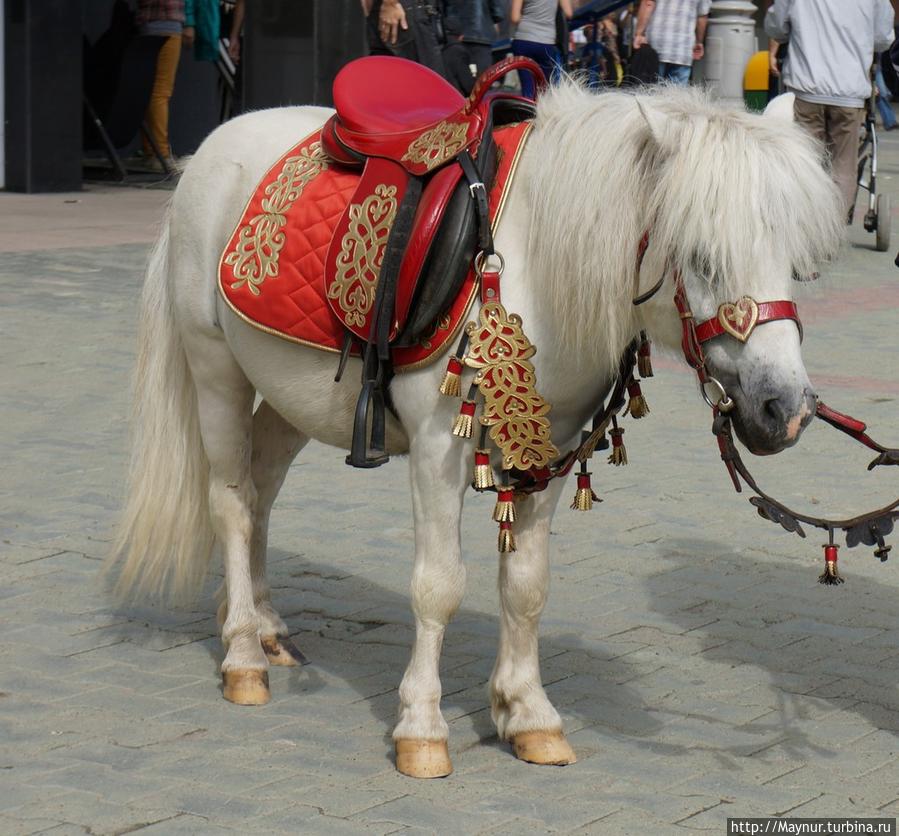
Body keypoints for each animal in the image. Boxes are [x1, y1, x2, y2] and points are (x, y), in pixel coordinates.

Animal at [107, 83, 844, 776]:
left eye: (794, 260)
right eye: (701, 256)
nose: (785, 408)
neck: (533, 266)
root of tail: (212, 147)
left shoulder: (547, 452)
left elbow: (526, 586)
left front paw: (527, 714)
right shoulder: (438, 453)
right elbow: (438, 586)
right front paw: (422, 728)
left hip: (297, 398)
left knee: (260, 494)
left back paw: (265, 629)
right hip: (216, 370)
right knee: (232, 504)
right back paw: (241, 655)